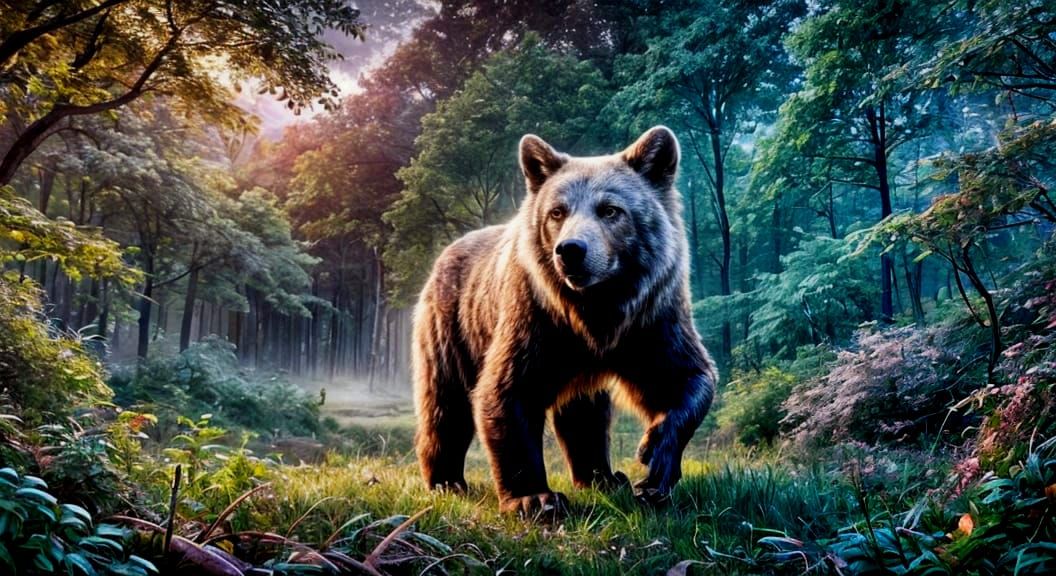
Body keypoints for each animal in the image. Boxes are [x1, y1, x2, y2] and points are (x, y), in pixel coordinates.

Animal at [412, 126, 716, 514]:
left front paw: (654, 464)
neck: (596, 313)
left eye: (610, 210)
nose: (571, 250)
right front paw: (534, 498)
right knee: (445, 406)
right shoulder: (535, 320)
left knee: (585, 416)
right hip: (451, 325)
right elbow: (506, 391)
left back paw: (603, 476)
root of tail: (446, 252)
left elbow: (685, 377)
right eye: (557, 212)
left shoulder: (650, 318)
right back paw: (446, 481)